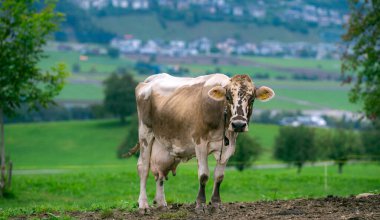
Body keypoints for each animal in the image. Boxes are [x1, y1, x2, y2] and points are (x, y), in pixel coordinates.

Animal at [127, 73, 274, 213]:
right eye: (228, 97)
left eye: (252, 99)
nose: (238, 124)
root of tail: (150, 79)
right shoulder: (200, 142)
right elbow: (203, 175)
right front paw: (200, 204)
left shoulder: (229, 146)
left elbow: (219, 176)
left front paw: (216, 204)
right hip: (145, 133)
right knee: (143, 168)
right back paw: (143, 205)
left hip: (163, 143)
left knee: (160, 172)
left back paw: (162, 204)